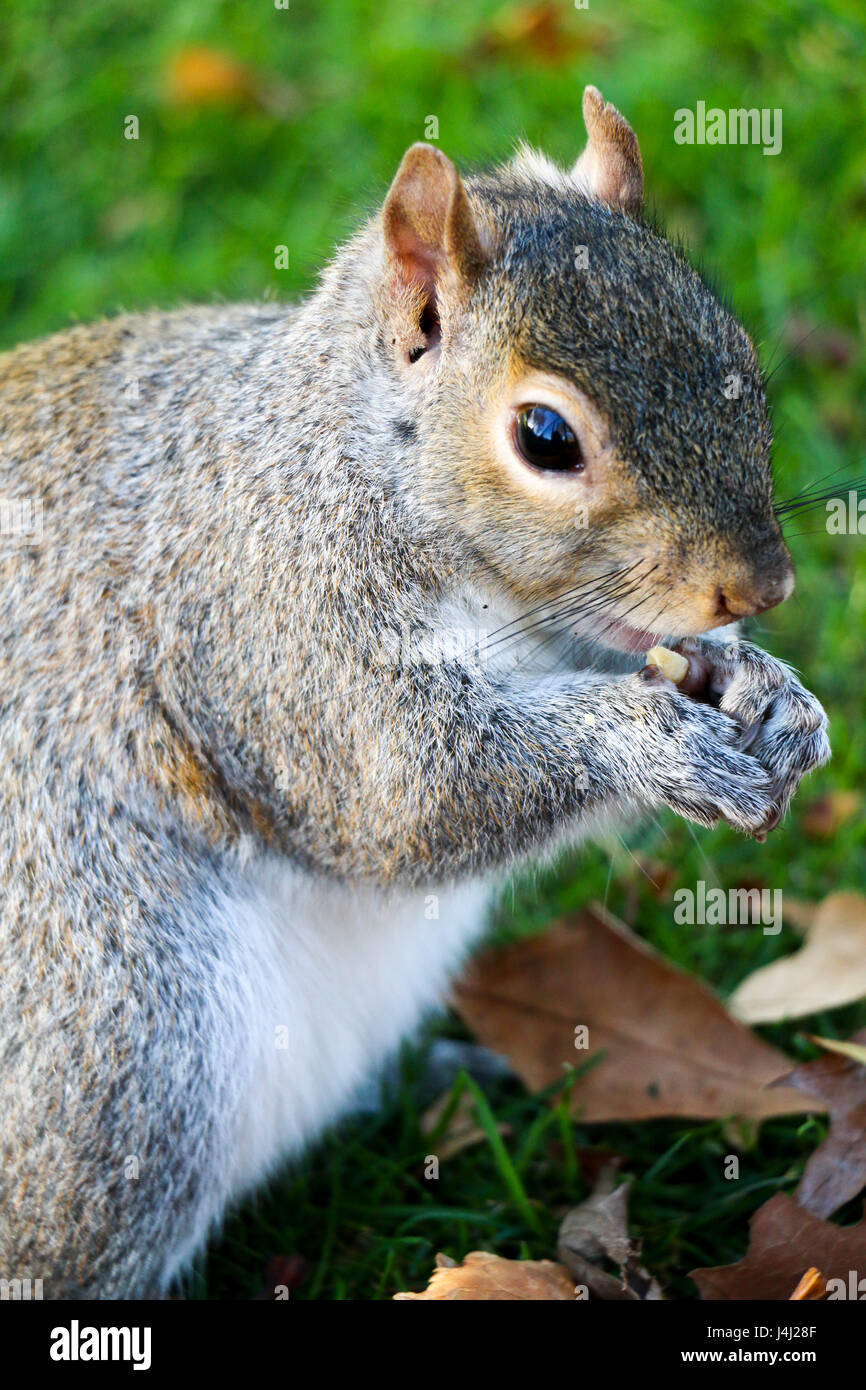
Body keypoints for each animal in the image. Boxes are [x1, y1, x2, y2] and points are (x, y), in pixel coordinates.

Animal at [0, 89, 828, 1301]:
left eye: (740, 363)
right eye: (544, 437)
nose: (761, 585)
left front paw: (771, 697)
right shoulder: (264, 623)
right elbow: (400, 801)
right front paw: (650, 743)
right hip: (121, 1049)